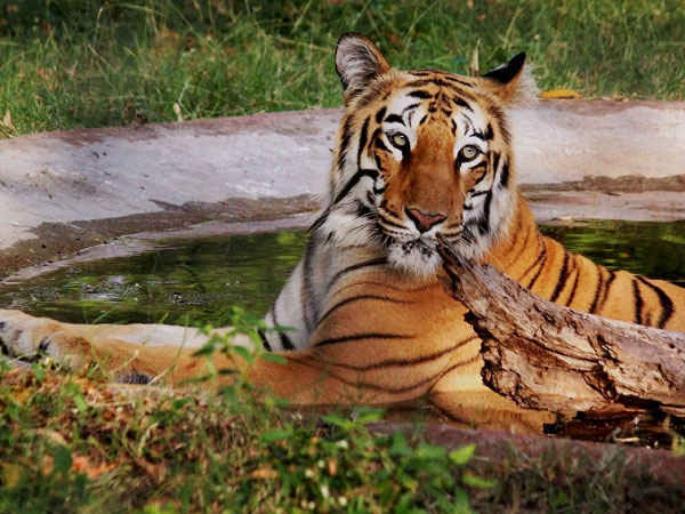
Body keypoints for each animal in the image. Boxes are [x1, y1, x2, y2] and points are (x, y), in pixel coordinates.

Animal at [1, 33, 684, 432]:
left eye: (467, 154)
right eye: (400, 140)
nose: (427, 218)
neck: (342, 246)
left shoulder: (335, 369)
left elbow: (175, 359)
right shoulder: (277, 336)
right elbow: (144, 333)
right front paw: (27, 327)